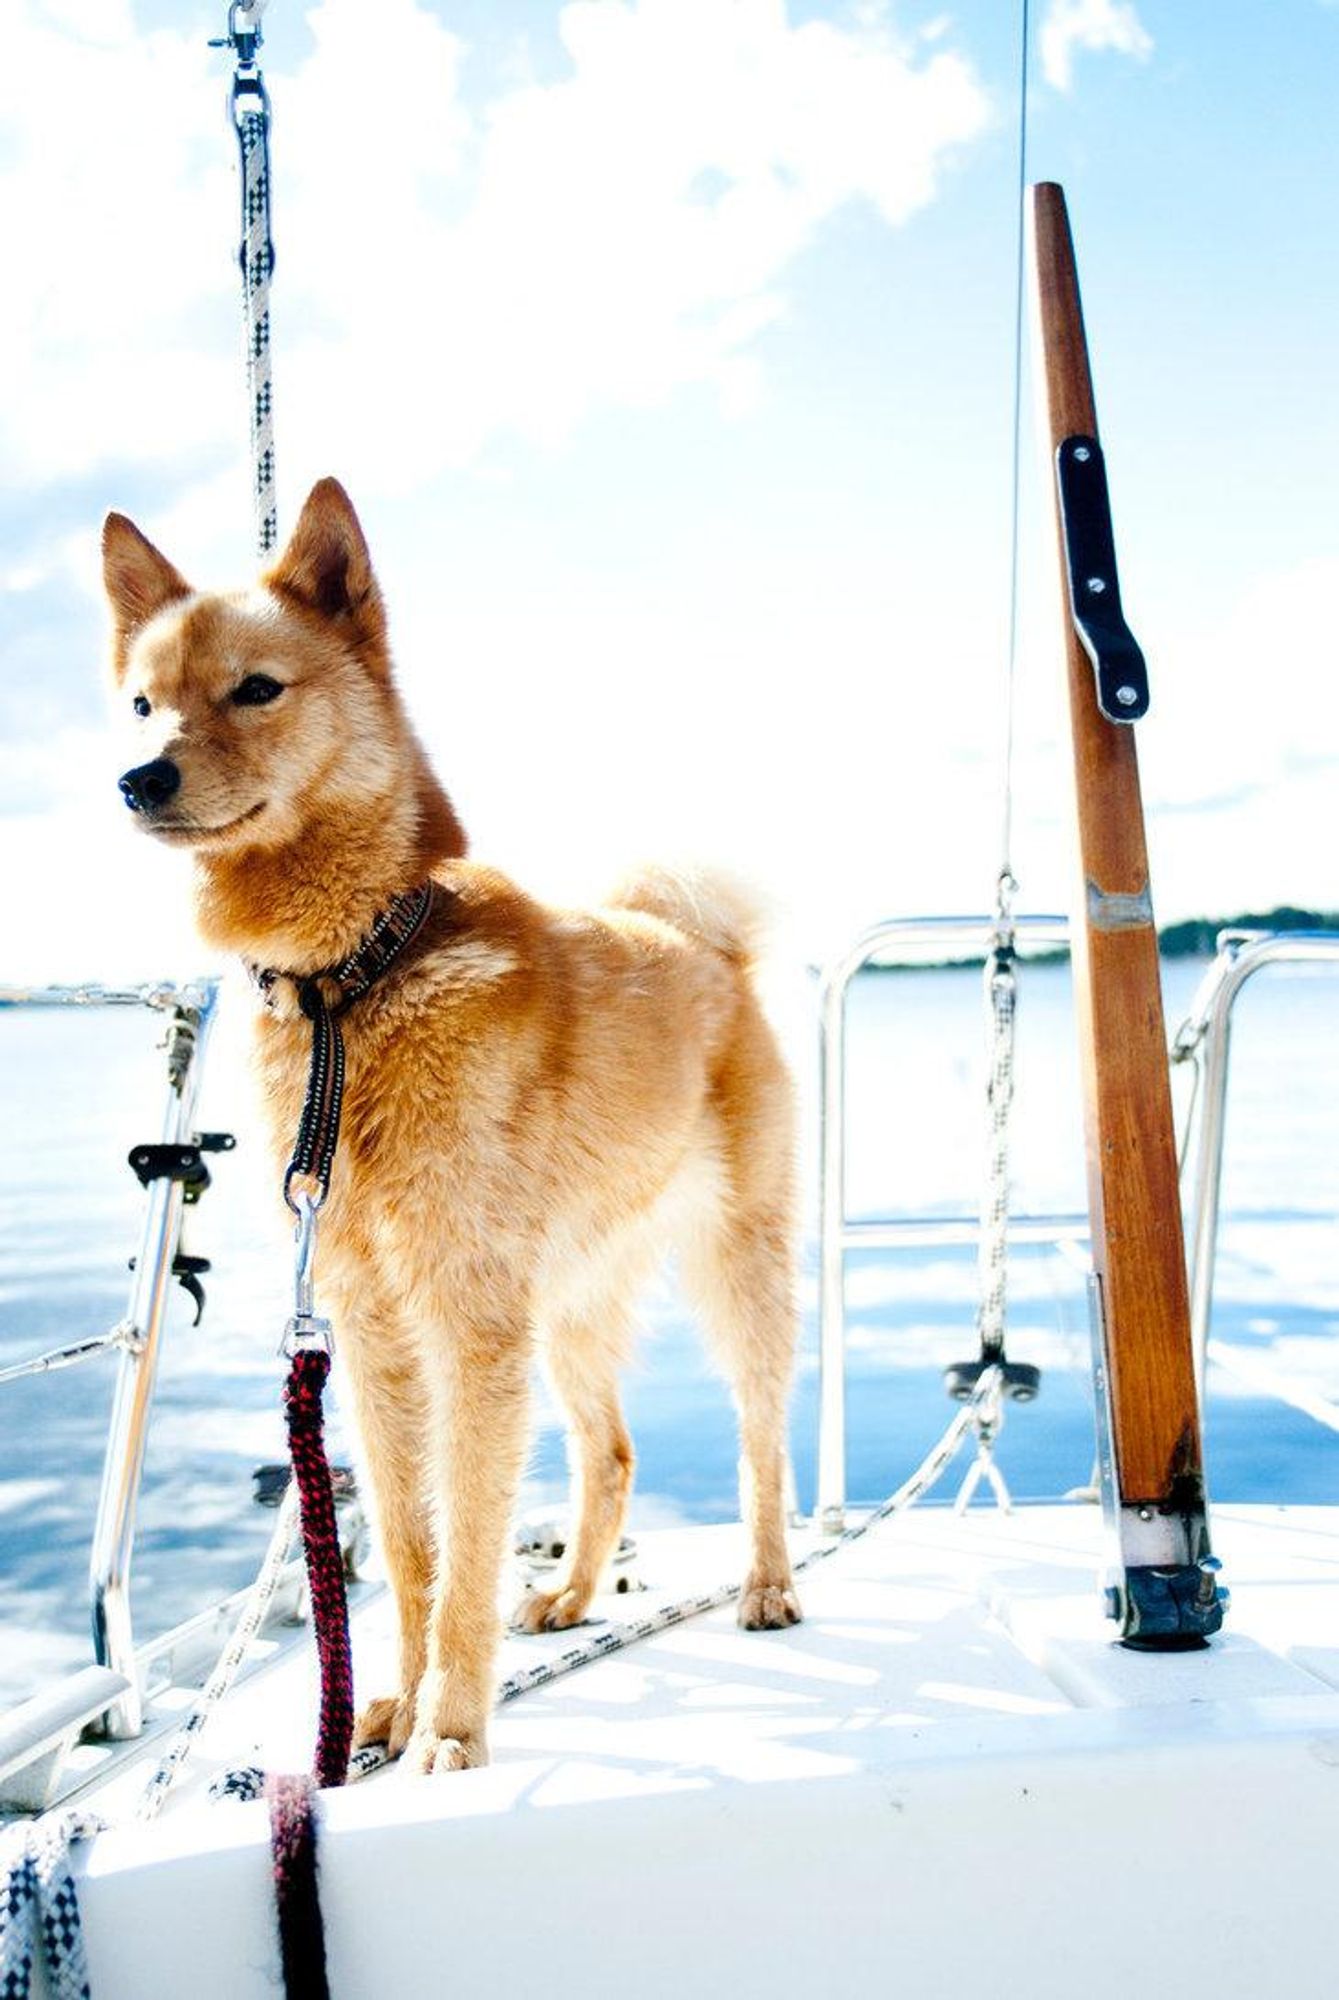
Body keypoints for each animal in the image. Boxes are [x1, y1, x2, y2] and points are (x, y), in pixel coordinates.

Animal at [104, 476, 803, 1776]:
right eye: (141, 703)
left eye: (256, 688)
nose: (138, 778)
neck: (351, 983)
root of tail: (702, 944)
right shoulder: (374, 1329)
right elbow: (413, 1550)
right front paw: (390, 1704)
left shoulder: (466, 1326)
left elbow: (466, 1545)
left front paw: (454, 1727)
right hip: (568, 1303)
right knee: (610, 1450)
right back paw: (573, 1593)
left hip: (737, 1270)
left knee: (760, 1437)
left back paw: (769, 1582)